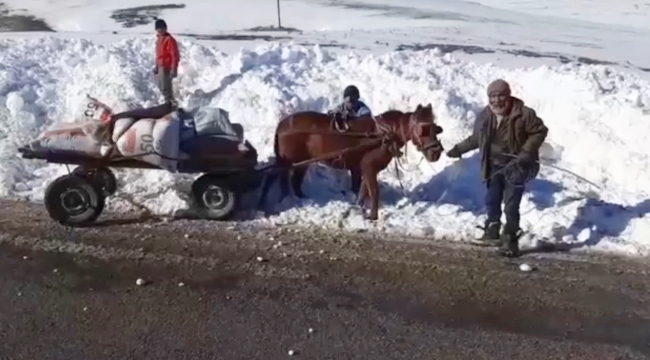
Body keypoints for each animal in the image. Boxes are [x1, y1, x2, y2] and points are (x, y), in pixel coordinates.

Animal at [258, 103, 446, 219]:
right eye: (423, 128)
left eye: (436, 127)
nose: (436, 152)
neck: (385, 134)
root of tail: (281, 125)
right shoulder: (369, 167)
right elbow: (373, 191)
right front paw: (373, 216)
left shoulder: (364, 169)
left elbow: (363, 190)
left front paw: (359, 208)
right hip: (288, 161)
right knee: (275, 177)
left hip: (301, 161)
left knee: (291, 180)